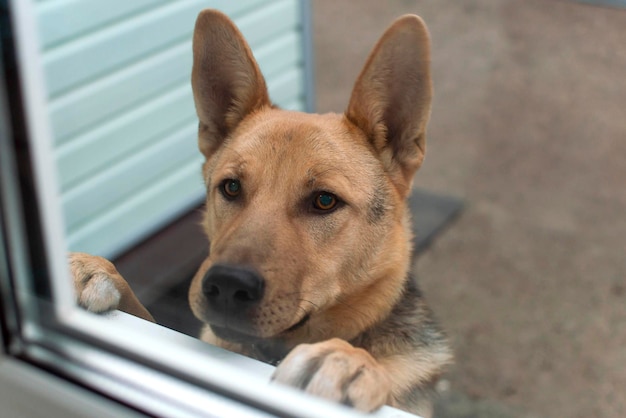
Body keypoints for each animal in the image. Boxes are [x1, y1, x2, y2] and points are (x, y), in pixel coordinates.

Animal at [69, 9, 448, 414]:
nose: (226, 286)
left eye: (325, 201)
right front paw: (93, 270)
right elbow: (144, 316)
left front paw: (348, 360)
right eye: (231, 187)